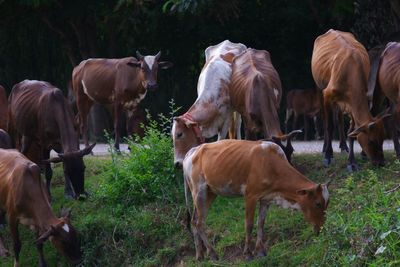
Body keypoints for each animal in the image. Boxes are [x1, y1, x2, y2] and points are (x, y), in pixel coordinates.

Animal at [183, 140, 330, 262]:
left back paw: (200, 255)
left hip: (210, 193)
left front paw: (260, 251)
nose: (321, 229)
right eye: (317, 203)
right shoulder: (250, 196)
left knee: (194, 221)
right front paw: (248, 253)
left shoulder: (266, 199)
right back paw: (212, 254)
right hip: (199, 191)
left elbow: (261, 223)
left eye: (327, 204)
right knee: (199, 223)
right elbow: (249, 225)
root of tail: (193, 151)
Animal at [310, 29, 390, 172]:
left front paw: (351, 163)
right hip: (319, 87)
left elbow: (351, 132)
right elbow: (329, 125)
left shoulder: (352, 102)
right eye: (371, 141)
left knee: (339, 118)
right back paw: (325, 148)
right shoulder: (327, 95)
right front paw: (328, 156)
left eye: (382, 139)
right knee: (325, 119)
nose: (380, 163)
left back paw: (343, 146)